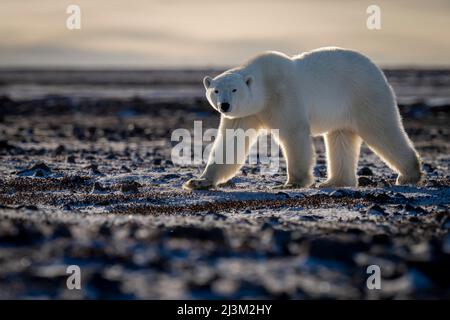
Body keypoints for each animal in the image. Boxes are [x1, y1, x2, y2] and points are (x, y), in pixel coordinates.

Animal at [182, 46, 422, 189]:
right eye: (216, 90)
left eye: (234, 89)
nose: (225, 105)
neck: (265, 87)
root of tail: (377, 69)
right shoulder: (246, 113)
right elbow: (230, 142)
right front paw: (198, 181)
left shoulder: (284, 95)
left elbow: (294, 134)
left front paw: (293, 182)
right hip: (343, 109)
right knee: (341, 138)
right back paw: (334, 182)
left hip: (364, 94)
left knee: (382, 129)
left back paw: (409, 175)